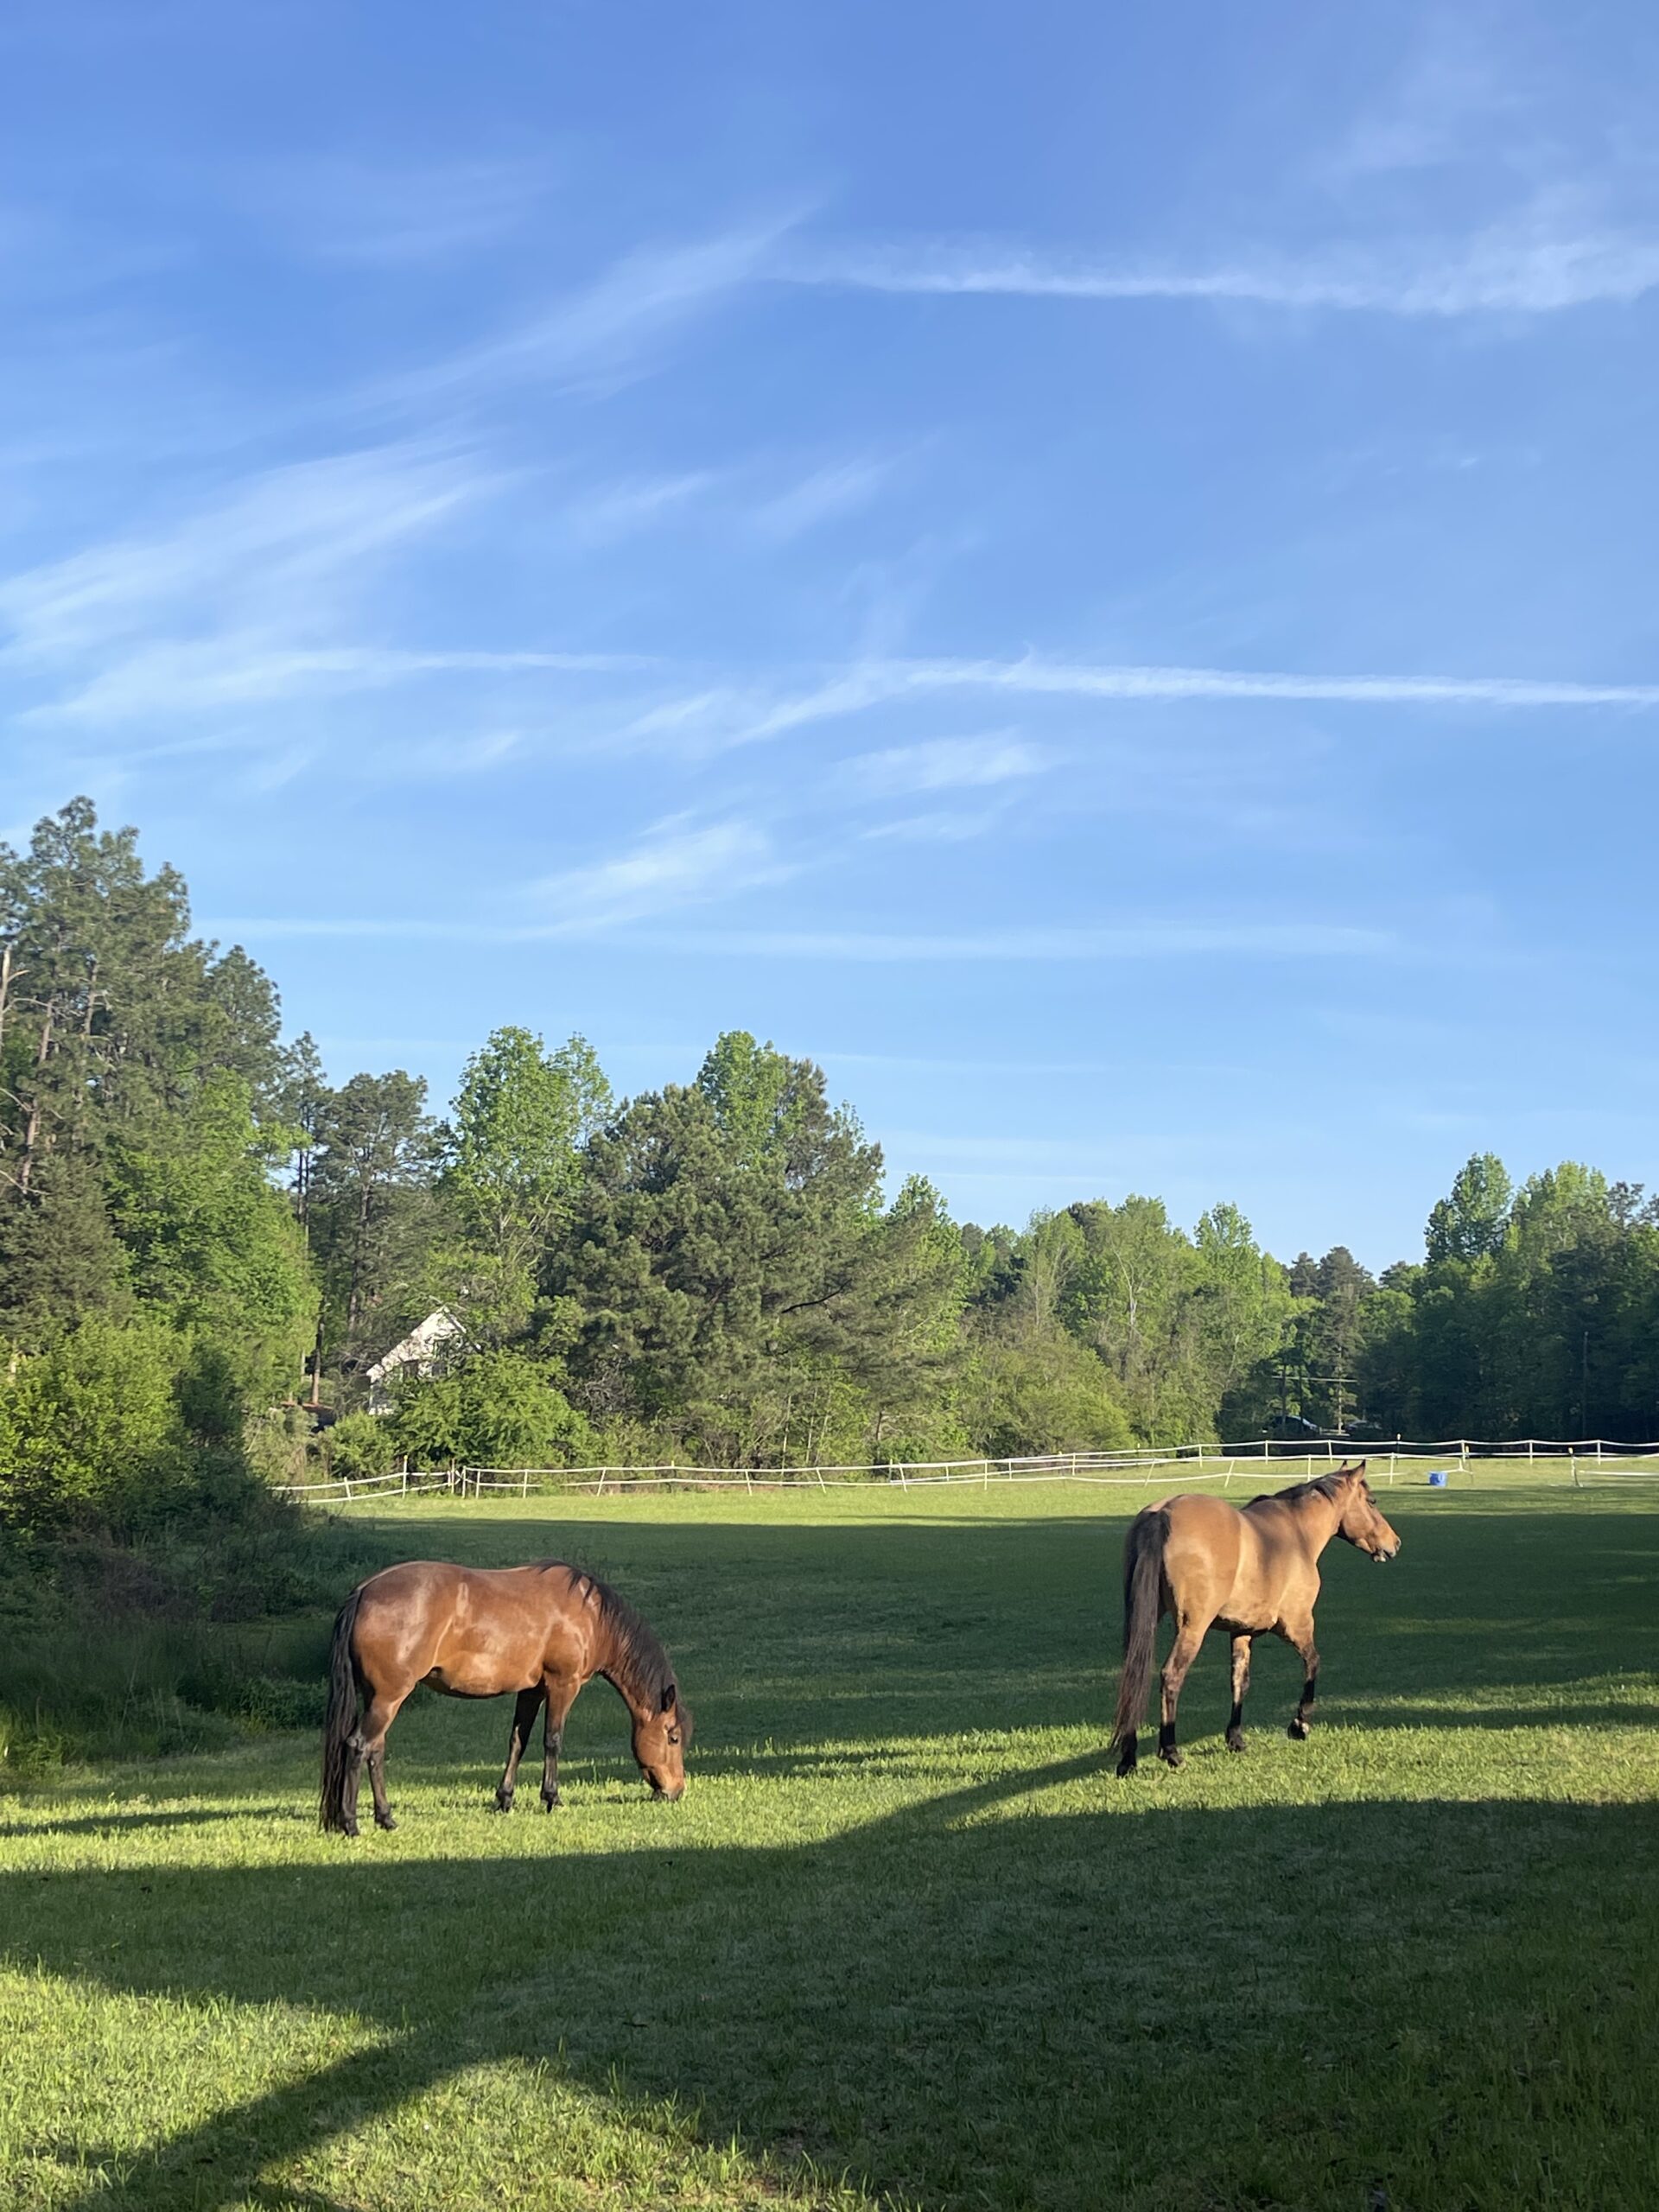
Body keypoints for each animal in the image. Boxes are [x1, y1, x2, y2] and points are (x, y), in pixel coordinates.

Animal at [321, 1566, 690, 1840]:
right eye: (672, 1737)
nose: (676, 1790)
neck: (591, 1615)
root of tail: (364, 1591)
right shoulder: (563, 1685)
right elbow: (552, 1740)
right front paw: (552, 1798)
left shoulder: (531, 1691)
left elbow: (518, 1742)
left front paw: (504, 1799)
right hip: (388, 1698)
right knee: (358, 1746)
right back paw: (350, 1823)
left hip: (379, 1698)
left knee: (375, 1751)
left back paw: (385, 1818)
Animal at [1119, 1468, 1407, 1778]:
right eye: (1372, 1501)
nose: (1395, 1543)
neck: (1297, 1532)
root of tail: (1163, 1512)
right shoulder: (1296, 1624)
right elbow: (1313, 1663)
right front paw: (1299, 1724)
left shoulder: (1241, 1633)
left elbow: (1239, 1682)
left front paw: (1235, 1739)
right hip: (1191, 1628)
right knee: (1171, 1676)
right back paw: (1171, 1751)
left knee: (1133, 1677)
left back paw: (1128, 1758)